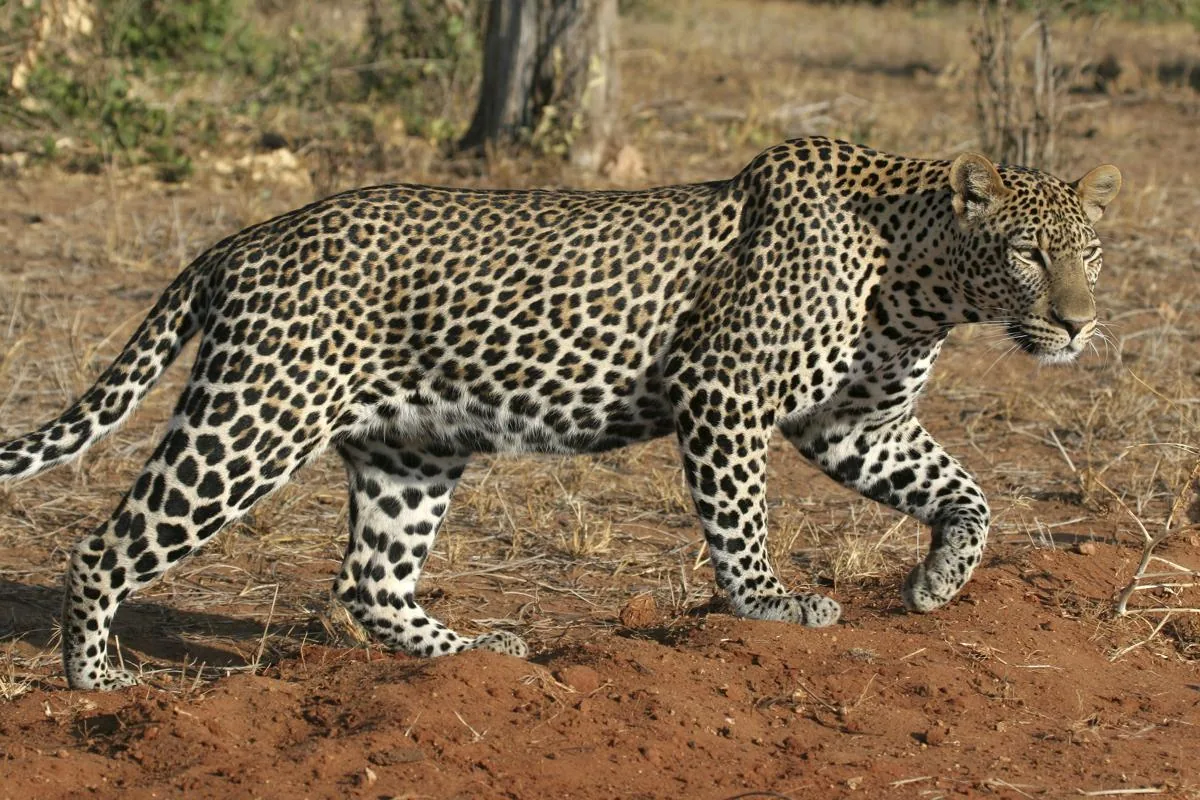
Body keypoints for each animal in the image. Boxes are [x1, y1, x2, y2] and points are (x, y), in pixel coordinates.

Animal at [0, 137, 1121, 690]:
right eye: (1028, 252)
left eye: (1092, 251)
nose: (1078, 324)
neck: (921, 280)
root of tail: (241, 239)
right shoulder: (723, 391)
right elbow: (741, 522)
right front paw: (769, 606)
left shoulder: (856, 423)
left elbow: (968, 493)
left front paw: (938, 584)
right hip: (254, 418)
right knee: (103, 544)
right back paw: (96, 678)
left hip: (412, 449)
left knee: (370, 579)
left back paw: (474, 659)